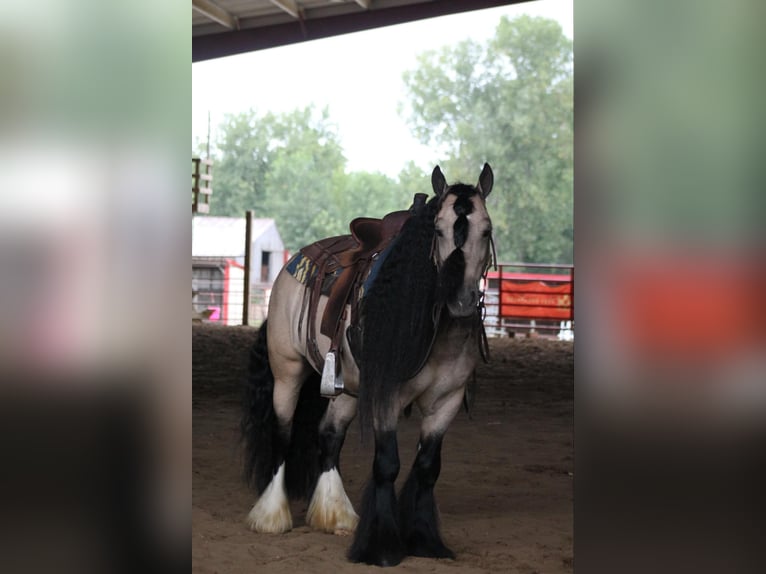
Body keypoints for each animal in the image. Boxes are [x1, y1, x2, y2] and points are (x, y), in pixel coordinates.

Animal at [243, 163, 500, 568]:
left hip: (346, 390)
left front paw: (425, 541)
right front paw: (380, 549)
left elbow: (427, 467)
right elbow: (387, 464)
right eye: (438, 231)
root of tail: (290, 265)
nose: (459, 300)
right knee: (282, 435)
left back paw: (335, 514)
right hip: (287, 373)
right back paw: (272, 516)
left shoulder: (447, 401)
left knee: (329, 436)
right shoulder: (386, 397)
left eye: (486, 230)